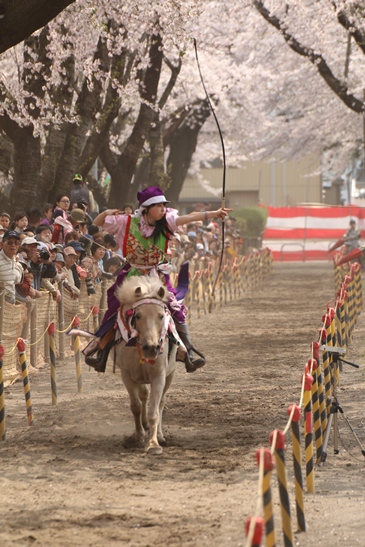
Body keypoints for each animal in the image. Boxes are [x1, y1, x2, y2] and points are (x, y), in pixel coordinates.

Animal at [113, 278, 177, 454]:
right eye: (138, 315)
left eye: (161, 315)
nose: (152, 348)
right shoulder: (127, 375)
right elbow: (135, 406)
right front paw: (138, 436)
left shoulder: (159, 376)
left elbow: (154, 411)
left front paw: (153, 444)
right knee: (143, 396)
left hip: (170, 376)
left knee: (160, 403)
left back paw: (160, 435)